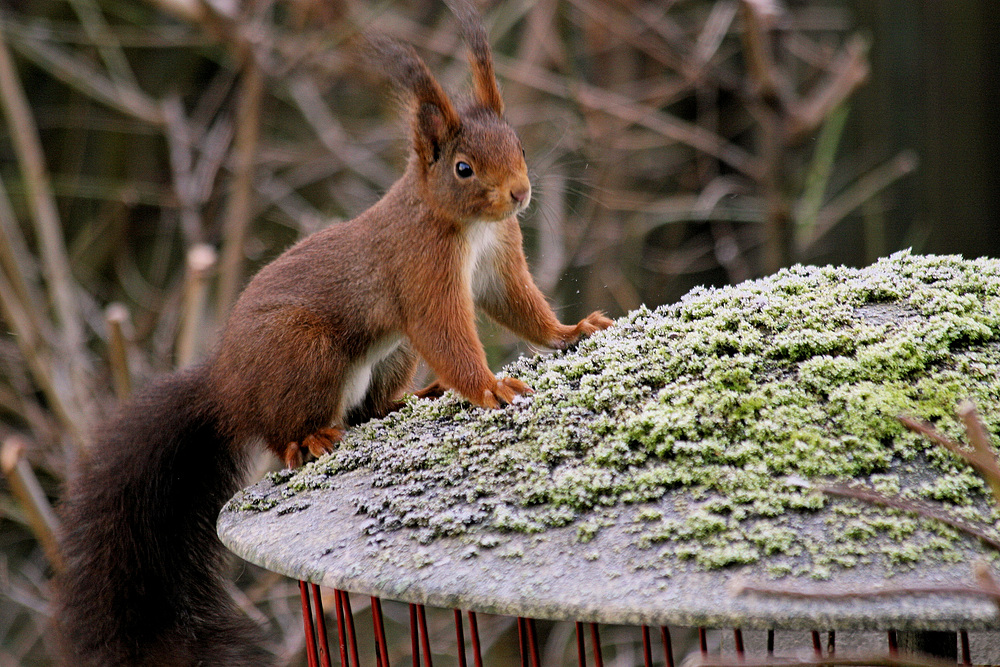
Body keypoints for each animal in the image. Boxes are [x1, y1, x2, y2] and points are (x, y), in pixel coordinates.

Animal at [58, 6, 612, 667]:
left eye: (520, 145)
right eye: (463, 168)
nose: (521, 194)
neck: (463, 223)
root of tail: (224, 387)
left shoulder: (500, 259)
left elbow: (520, 308)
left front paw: (571, 330)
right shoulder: (421, 269)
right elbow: (446, 333)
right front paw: (489, 388)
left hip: (391, 356)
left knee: (369, 406)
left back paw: (406, 401)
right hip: (306, 355)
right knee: (282, 433)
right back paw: (309, 440)